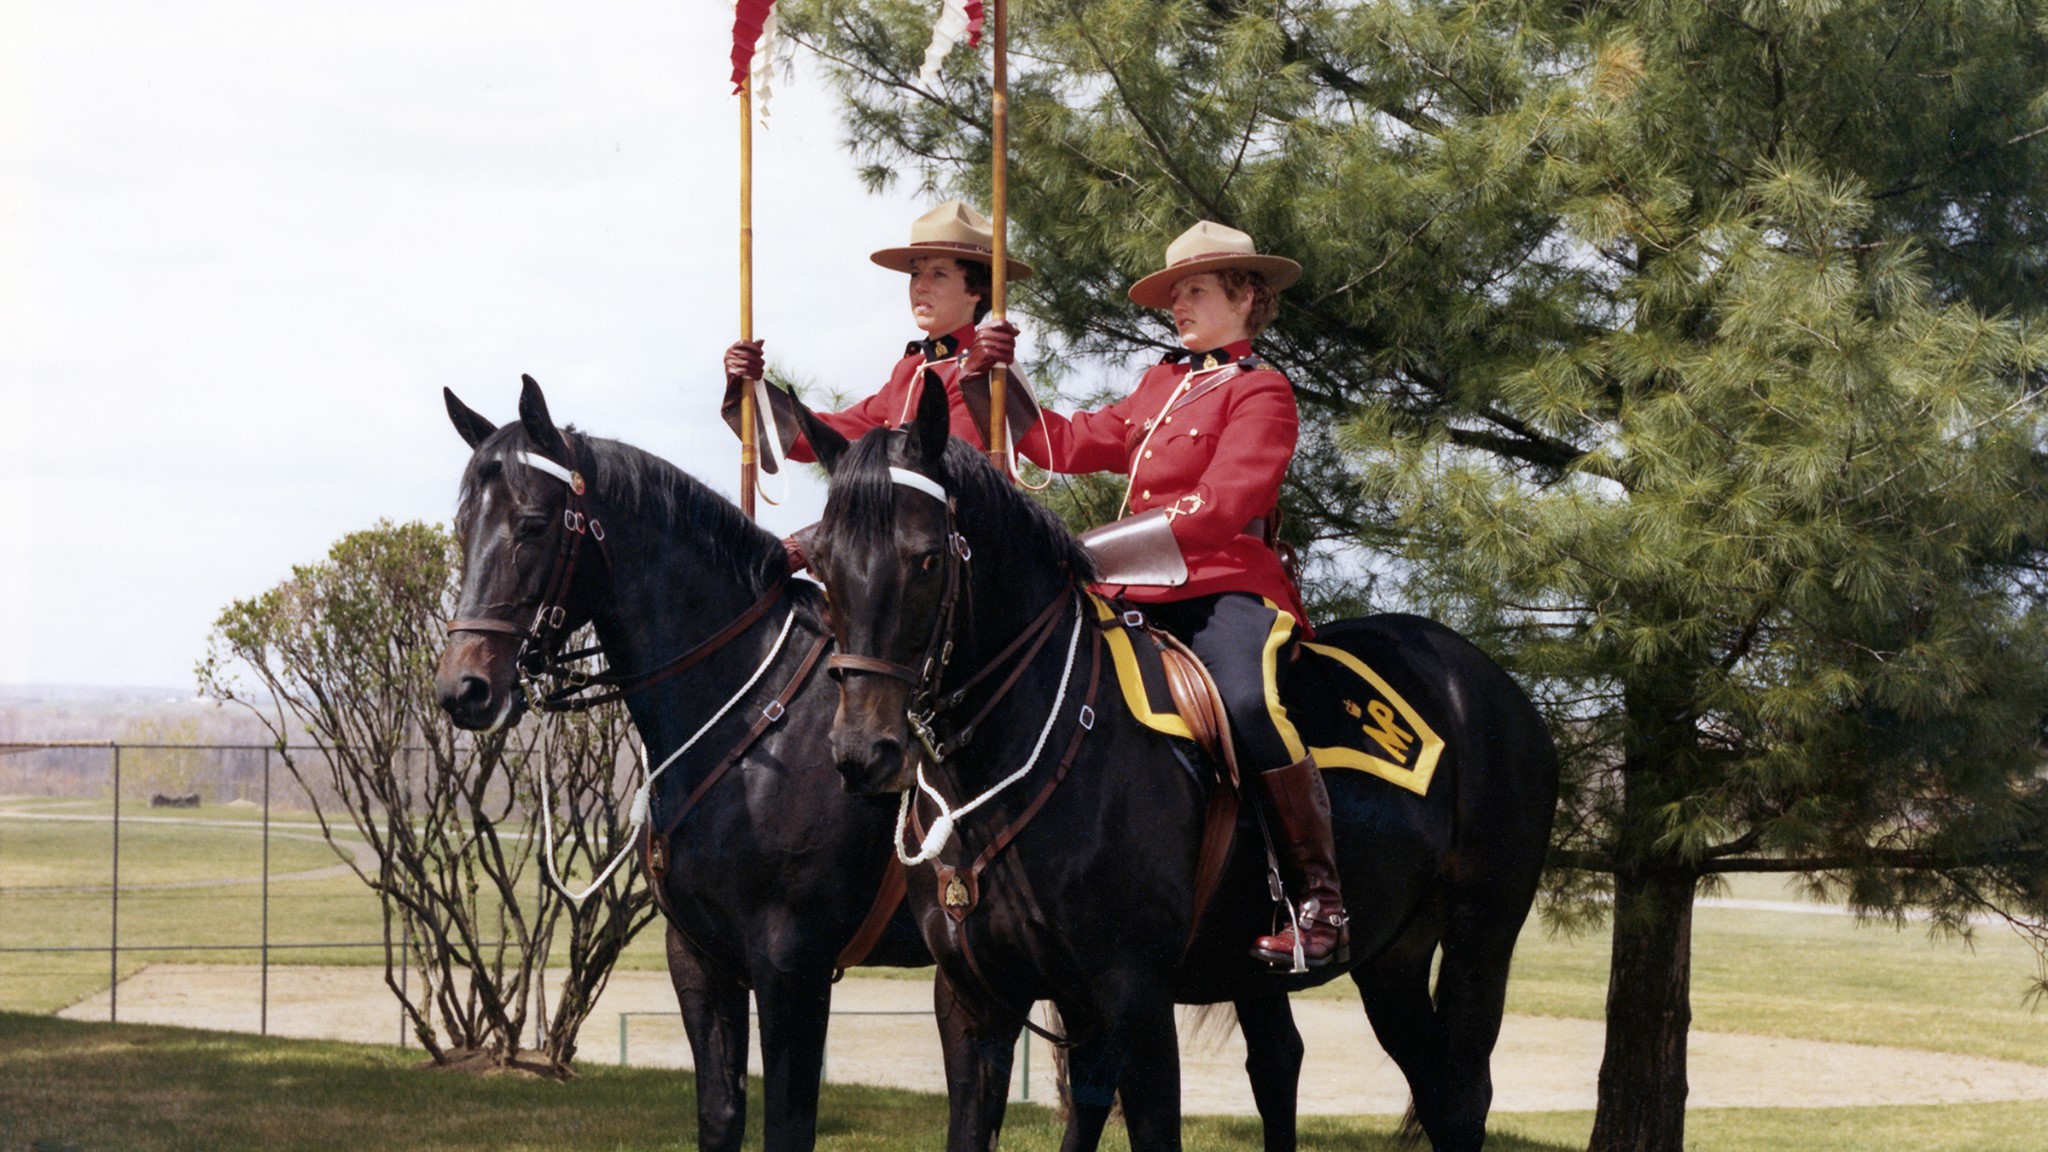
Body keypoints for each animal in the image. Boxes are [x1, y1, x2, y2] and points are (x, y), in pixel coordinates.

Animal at [440, 379, 937, 1147]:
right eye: (464, 526)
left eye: (532, 524)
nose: (464, 689)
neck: (751, 721)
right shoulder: (701, 958)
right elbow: (720, 1111)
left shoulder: (792, 966)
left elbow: (788, 1124)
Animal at [794, 379, 1548, 1147]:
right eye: (820, 561)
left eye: (926, 559)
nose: (864, 750)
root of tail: (1485, 678)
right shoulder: (977, 1002)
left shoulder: (1135, 998)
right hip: (1390, 958)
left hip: (1479, 937)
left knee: (1461, 1095)